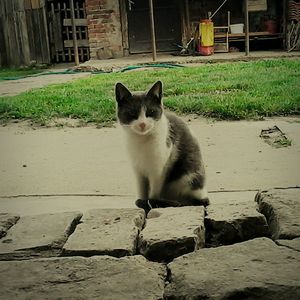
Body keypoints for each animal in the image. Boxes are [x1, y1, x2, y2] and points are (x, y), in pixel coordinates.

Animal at [115, 79, 209, 211]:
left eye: (151, 112)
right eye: (132, 113)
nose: (142, 124)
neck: (142, 141)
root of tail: (203, 193)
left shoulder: (159, 169)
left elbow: (154, 192)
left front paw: (150, 203)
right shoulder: (138, 169)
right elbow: (141, 189)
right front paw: (143, 204)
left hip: (187, 177)